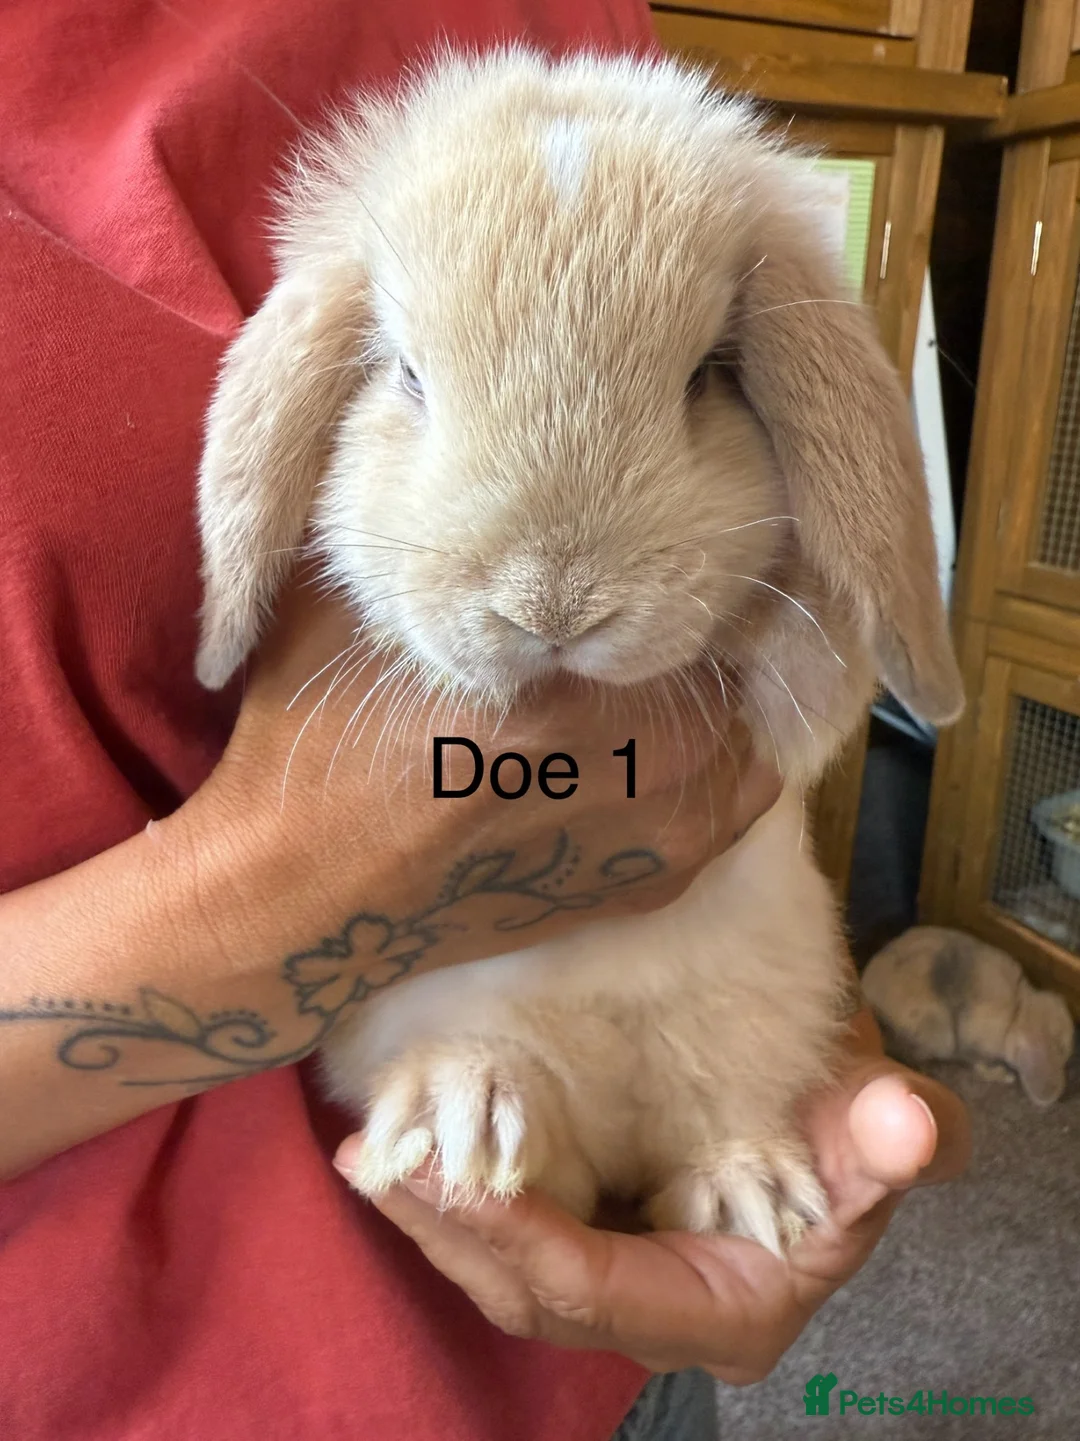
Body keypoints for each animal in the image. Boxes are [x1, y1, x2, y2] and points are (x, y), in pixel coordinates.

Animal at [193, 47, 964, 1254]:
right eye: (407, 377)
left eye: (707, 376)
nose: (551, 606)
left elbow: (818, 682)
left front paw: (772, 668)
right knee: (527, 1122)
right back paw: (464, 1120)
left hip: (758, 1015)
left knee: (713, 1112)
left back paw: (752, 1194)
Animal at [863, 926, 1075, 1107]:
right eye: (1060, 1048)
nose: (1057, 1096)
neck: (1016, 1014)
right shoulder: (973, 1044)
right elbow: (979, 1065)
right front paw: (1004, 1076)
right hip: (938, 1035)